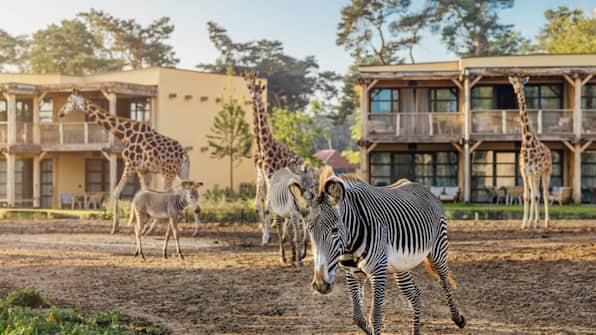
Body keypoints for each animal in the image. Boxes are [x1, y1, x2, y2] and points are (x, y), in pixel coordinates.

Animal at [59, 90, 201, 236]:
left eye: (69, 101)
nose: (60, 113)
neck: (124, 134)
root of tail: (184, 155)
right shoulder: (142, 170)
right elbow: (144, 192)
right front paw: (141, 224)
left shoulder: (130, 164)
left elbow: (116, 192)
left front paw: (115, 228)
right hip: (182, 171)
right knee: (191, 187)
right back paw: (195, 230)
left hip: (168, 173)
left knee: (169, 193)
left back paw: (154, 229)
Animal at [242, 71, 304, 249]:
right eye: (249, 86)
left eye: (260, 89)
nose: (253, 97)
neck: (263, 146)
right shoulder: (260, 175)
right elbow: (258, 204)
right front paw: (265, 233)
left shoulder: (270, 177)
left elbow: (269, 206)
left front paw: (266, 238)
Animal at [292, 168, 468, 335]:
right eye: (309, 230)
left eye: (334, 230)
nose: (321, 285)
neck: (350, 243)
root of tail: (422, 187)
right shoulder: (352, 273)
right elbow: (358, 317)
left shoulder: (378, 272)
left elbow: (375, 316)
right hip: (401, 267)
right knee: (415, 296)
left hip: (438, 251)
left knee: (444, 279)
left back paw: (458, 318)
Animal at [508, 76, 556, 228]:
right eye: (513, 83)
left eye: (522, 83)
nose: (517, 90)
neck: (528, 141)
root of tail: (549, 151)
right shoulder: (524, 172)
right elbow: (526, 196)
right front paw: (524, 223)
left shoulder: (535, 171)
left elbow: (536, 196)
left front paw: (535, 222)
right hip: (533, 175)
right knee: (534, 194)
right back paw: (533, 222)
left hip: (546, 172)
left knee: (544, 194)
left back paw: (546, 222)